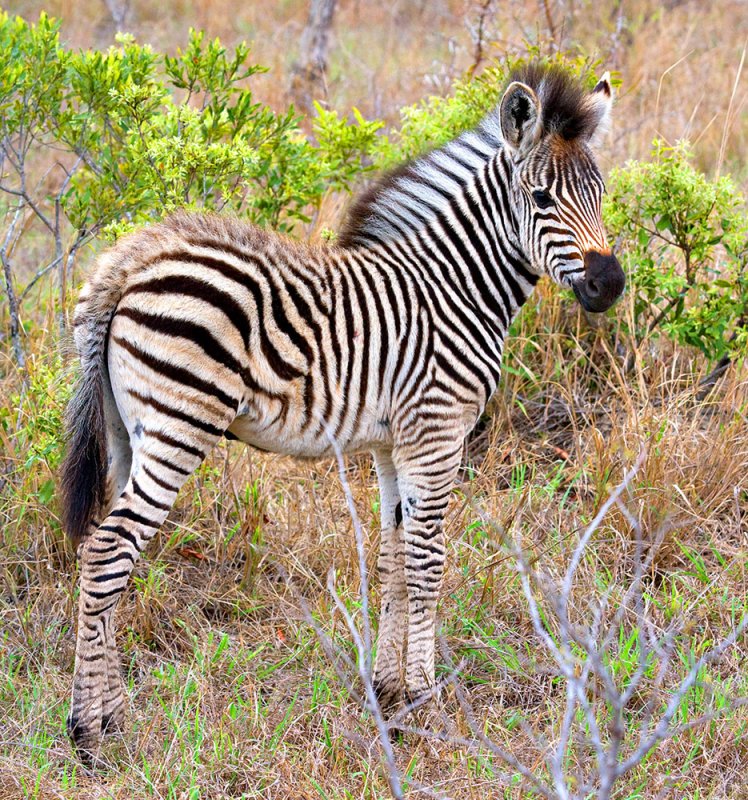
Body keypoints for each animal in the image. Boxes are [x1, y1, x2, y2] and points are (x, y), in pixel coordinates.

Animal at [61, 65, 628, 760]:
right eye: (542, 199)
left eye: (601, 194)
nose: (609, 285)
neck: (455, 286)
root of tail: (131, 260)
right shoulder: (438, 432)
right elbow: (428, 561)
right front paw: (426, 702)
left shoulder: (393, 443)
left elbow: (393, 558)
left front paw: (387, 696)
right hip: (178, 425)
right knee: (108, 551)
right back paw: (88, 732)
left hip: (127, 430)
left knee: (108, 553)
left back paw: (113, 716)